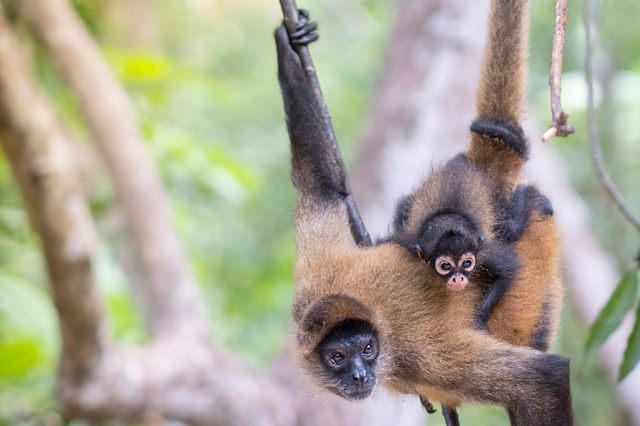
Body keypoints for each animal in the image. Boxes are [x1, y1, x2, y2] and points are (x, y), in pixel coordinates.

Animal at [274, 1, 568, 424]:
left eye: (367, 350)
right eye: (337, 357)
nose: (360, 375)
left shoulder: (419, 353)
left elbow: (545, 378)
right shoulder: (313, 278)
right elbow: (323, 185)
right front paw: (287, 41)